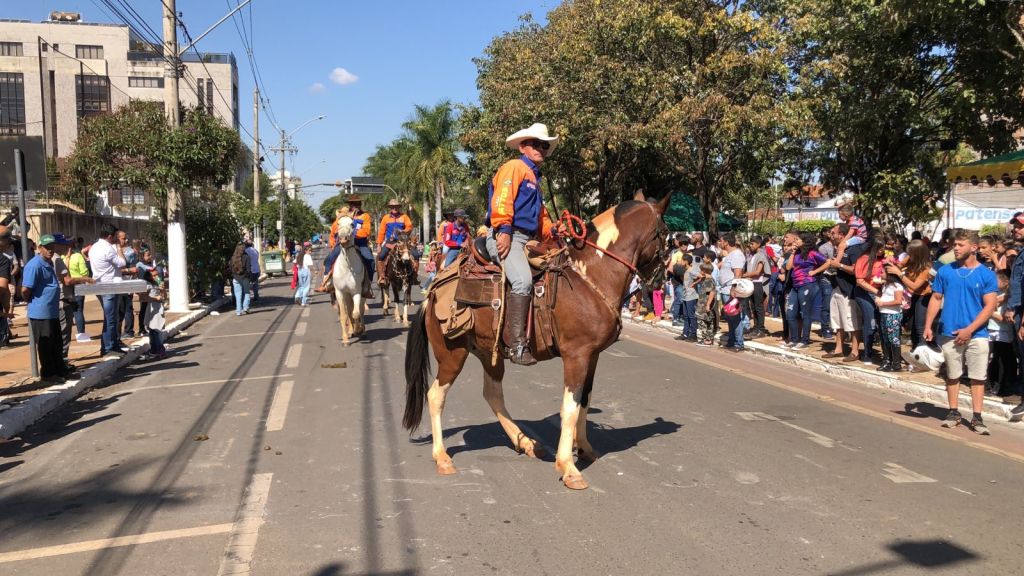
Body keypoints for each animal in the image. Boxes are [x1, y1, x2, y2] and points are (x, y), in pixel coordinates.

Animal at [399, 190, 671, 485]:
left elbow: (584, 401)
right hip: (452, 354)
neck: (590, 274)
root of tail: (431, 295)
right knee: (436, 395)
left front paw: (584, 448)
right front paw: (568, 466)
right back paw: (442, 457)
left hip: (489, 352)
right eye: (666, 234)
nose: (660, 281)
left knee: (492, 394)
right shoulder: (576, 355)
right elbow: (570, 407)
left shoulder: (593, 355)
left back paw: (526, 442)